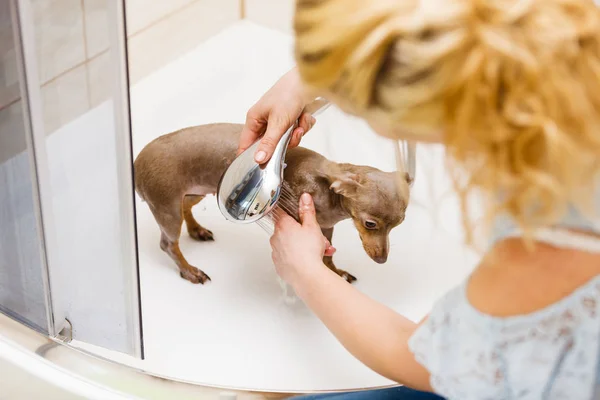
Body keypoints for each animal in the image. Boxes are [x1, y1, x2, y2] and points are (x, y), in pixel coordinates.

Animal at [134, 125, 410, 284]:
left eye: (399, 224)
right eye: (370, 223)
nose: (382, 260)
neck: (327, 192)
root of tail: (136, 163)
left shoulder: (326, 227)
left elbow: (327, 255)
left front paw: (335, 272)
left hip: (196, 192)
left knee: (186, 208)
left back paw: (196, 230)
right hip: (166, 208)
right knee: (168, 244)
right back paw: (189, 270)